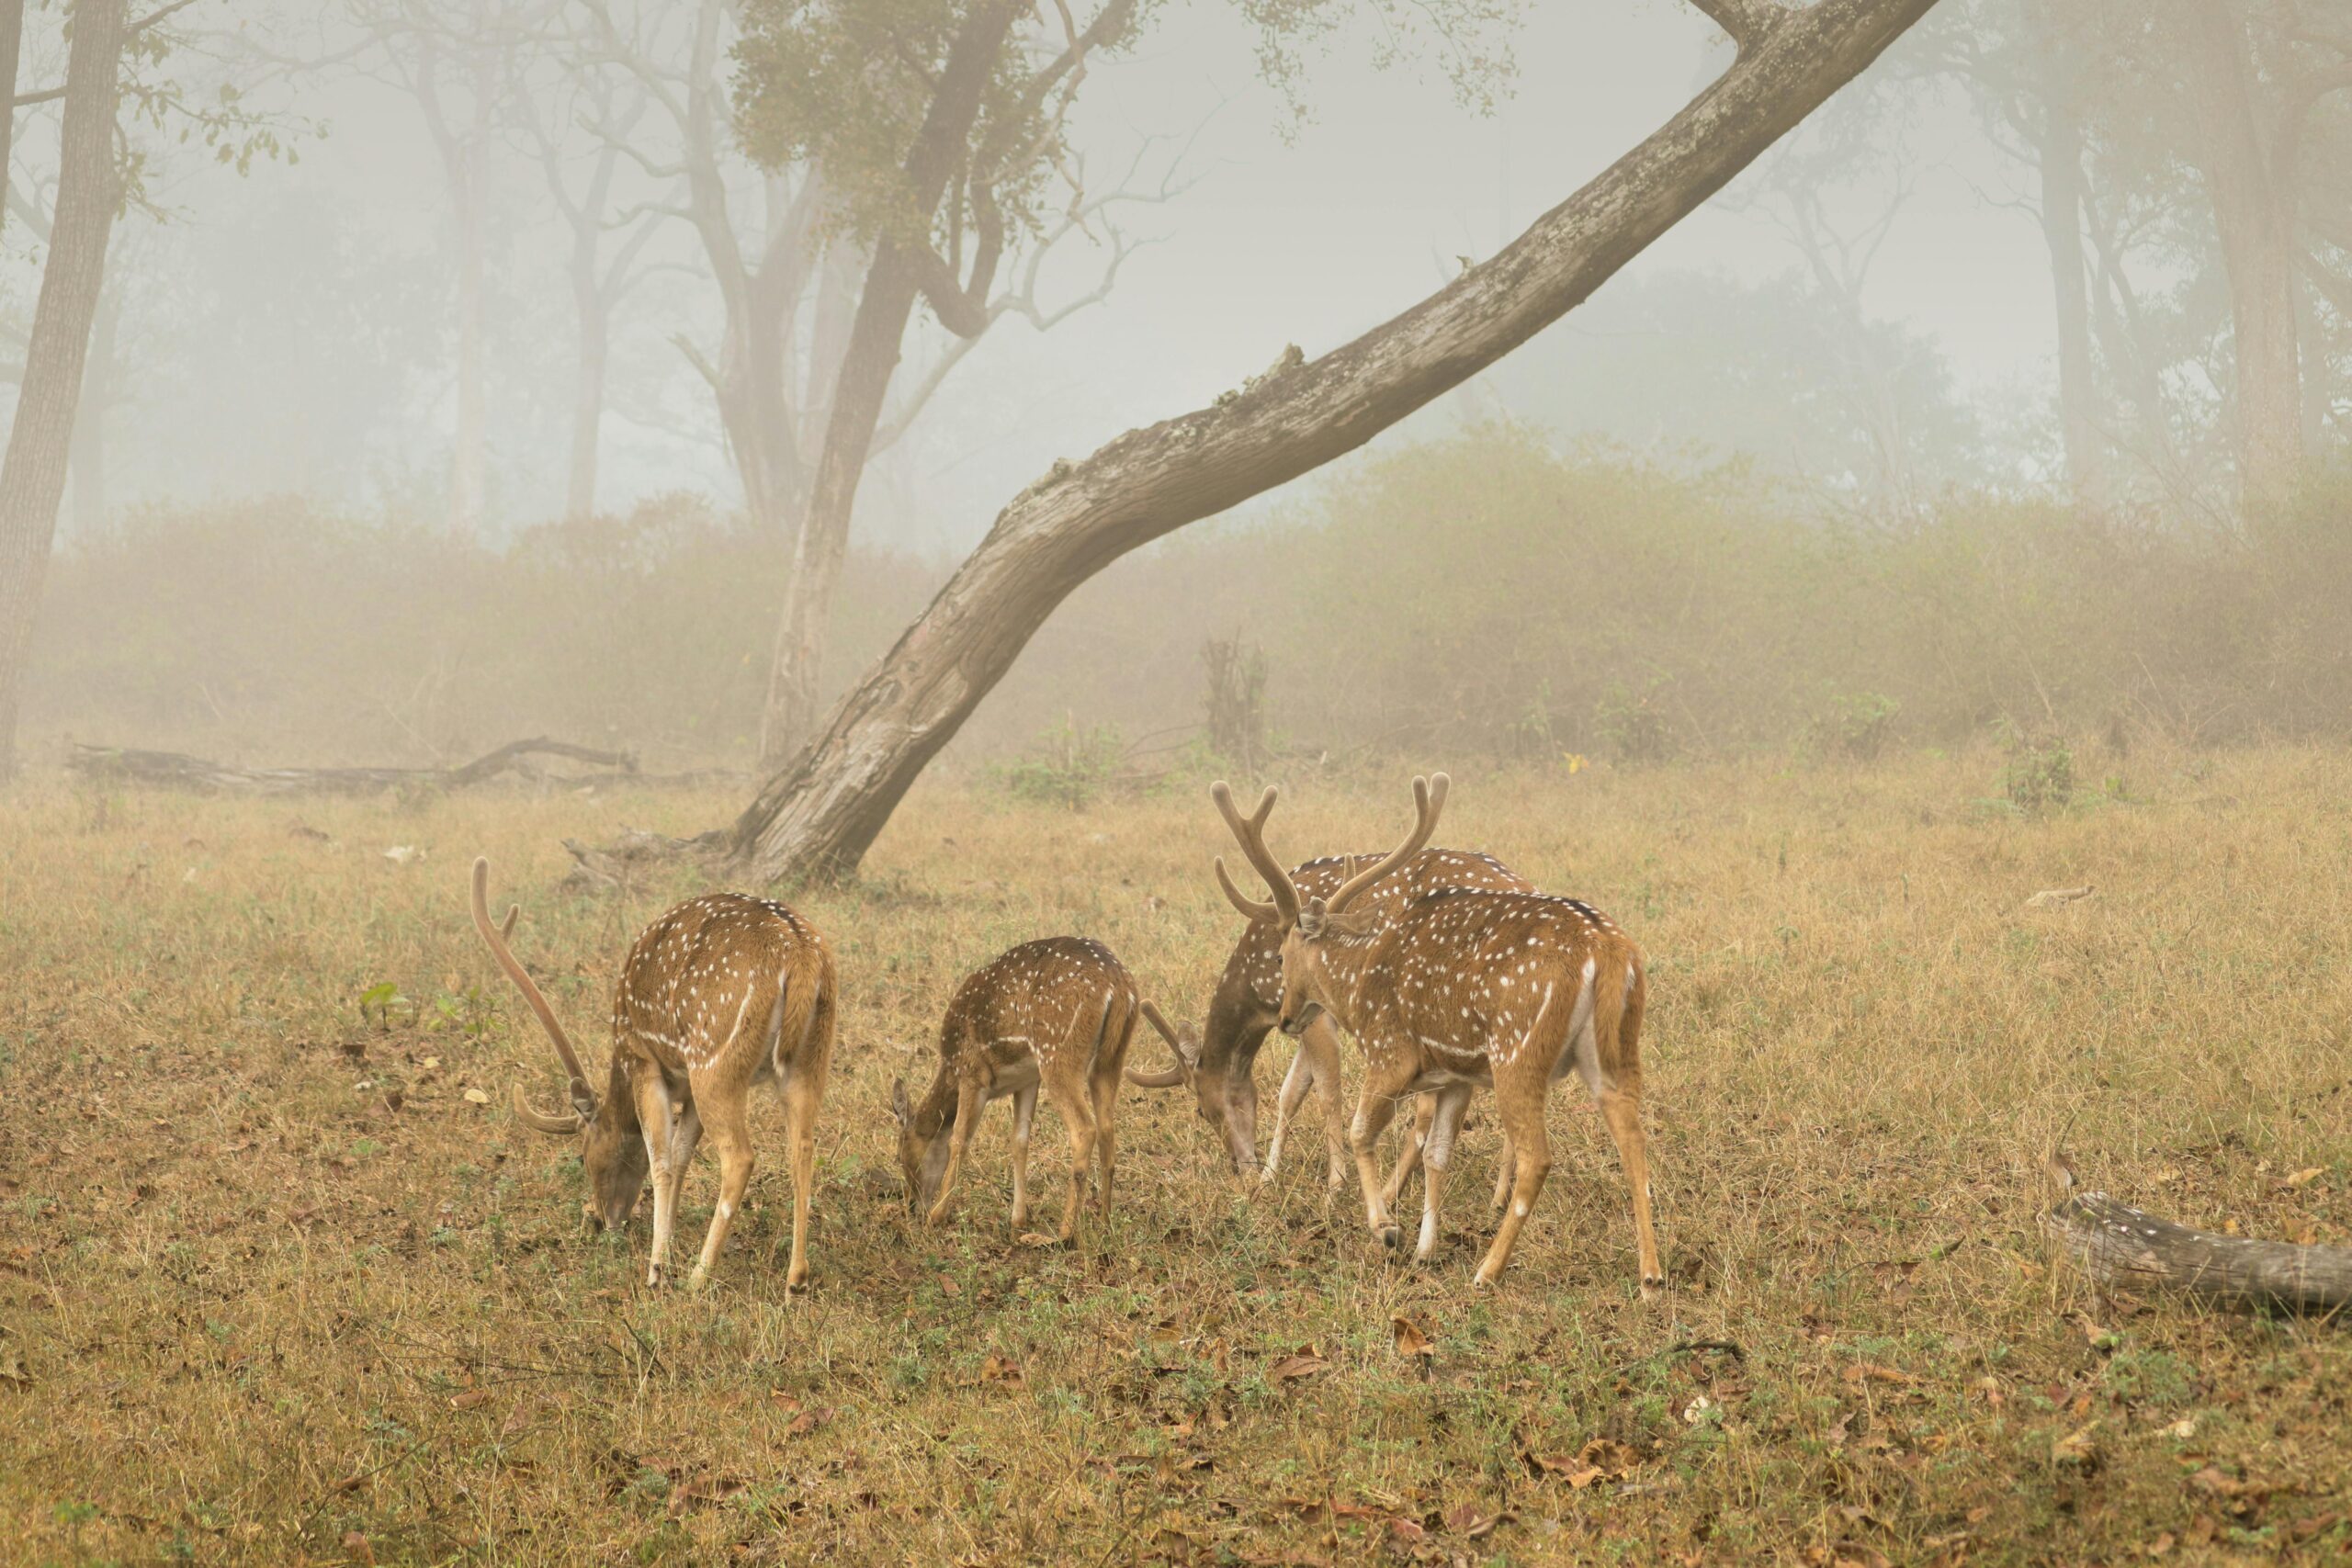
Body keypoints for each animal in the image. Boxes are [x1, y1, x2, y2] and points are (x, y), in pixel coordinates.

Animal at [468, 864, 837, 1297]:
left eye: (583, 1156)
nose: (602, 1221)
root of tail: (801, 957)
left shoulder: (645, 1061)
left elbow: (660, 1159)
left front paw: (658, 1268)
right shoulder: (687, 1088)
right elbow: (680, 1156)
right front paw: (669, 1244)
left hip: (715, 1059)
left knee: (740, 1157)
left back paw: (698, 1276)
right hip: (810, 1058)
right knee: (803, 1146)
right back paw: (796, 1278)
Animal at [888, 940, 1166, 1241]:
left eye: (899, 1155)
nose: (913, 1207)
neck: (950, 1067)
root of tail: (1118, 986)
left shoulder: (972, 1072)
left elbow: (959, 1139)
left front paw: (937, 1216)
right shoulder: (1027, 1080)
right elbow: (1019, 1140)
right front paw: (1018, 1220)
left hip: (1057, 1051)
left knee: (1084, 1129)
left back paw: (1065, 1232)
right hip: (1111, 1058)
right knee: (1107, 1129)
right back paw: (1104, 1221)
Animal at [1128, 841, 1533, 1194]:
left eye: (1201, 1110)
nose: (1239, 1165)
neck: (1258, 992)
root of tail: (1525, 885)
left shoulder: (1314, 1012)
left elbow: (1326, 1090)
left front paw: (1335, 1182)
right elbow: (1290, 1093)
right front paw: (1270, 1177)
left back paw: (1395, 1190)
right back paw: (1498, 1195)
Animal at [1223, 775, 1665, 1297]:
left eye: (1279, 957)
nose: (1287, 1018)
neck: (1356, 988)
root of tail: (1609, 950)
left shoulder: (1389, 1052)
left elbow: (1359, 1131)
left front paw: (1386, 1229)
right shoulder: (1455, 1076)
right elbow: (1437, 1155)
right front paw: (1424, 1248)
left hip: (1517, 1050)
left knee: (1538, 1157)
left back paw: (1488, 1270)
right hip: (1615, 1050)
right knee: (1633, 1137)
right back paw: (1650, 1275)